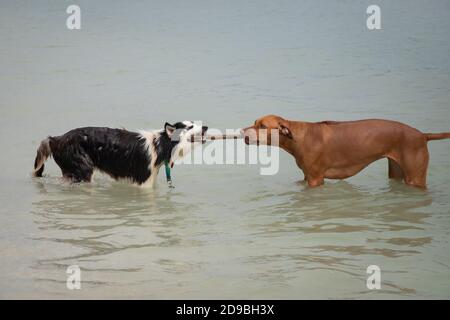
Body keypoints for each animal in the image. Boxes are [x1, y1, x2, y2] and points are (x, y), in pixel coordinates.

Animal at [33, 121, 209, 186]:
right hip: (84, 171)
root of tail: (56, 139)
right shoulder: (143, 181)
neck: (160, 144)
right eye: (190, 127)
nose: (206, 127)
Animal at [243, 115, 450, 188]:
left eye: (262, 126)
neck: (298, 136)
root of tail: (423, 135)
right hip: (397, 171)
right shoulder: (306, 176)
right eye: (254, 122)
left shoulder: (316, 179)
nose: (243, 132)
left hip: (415, 176)